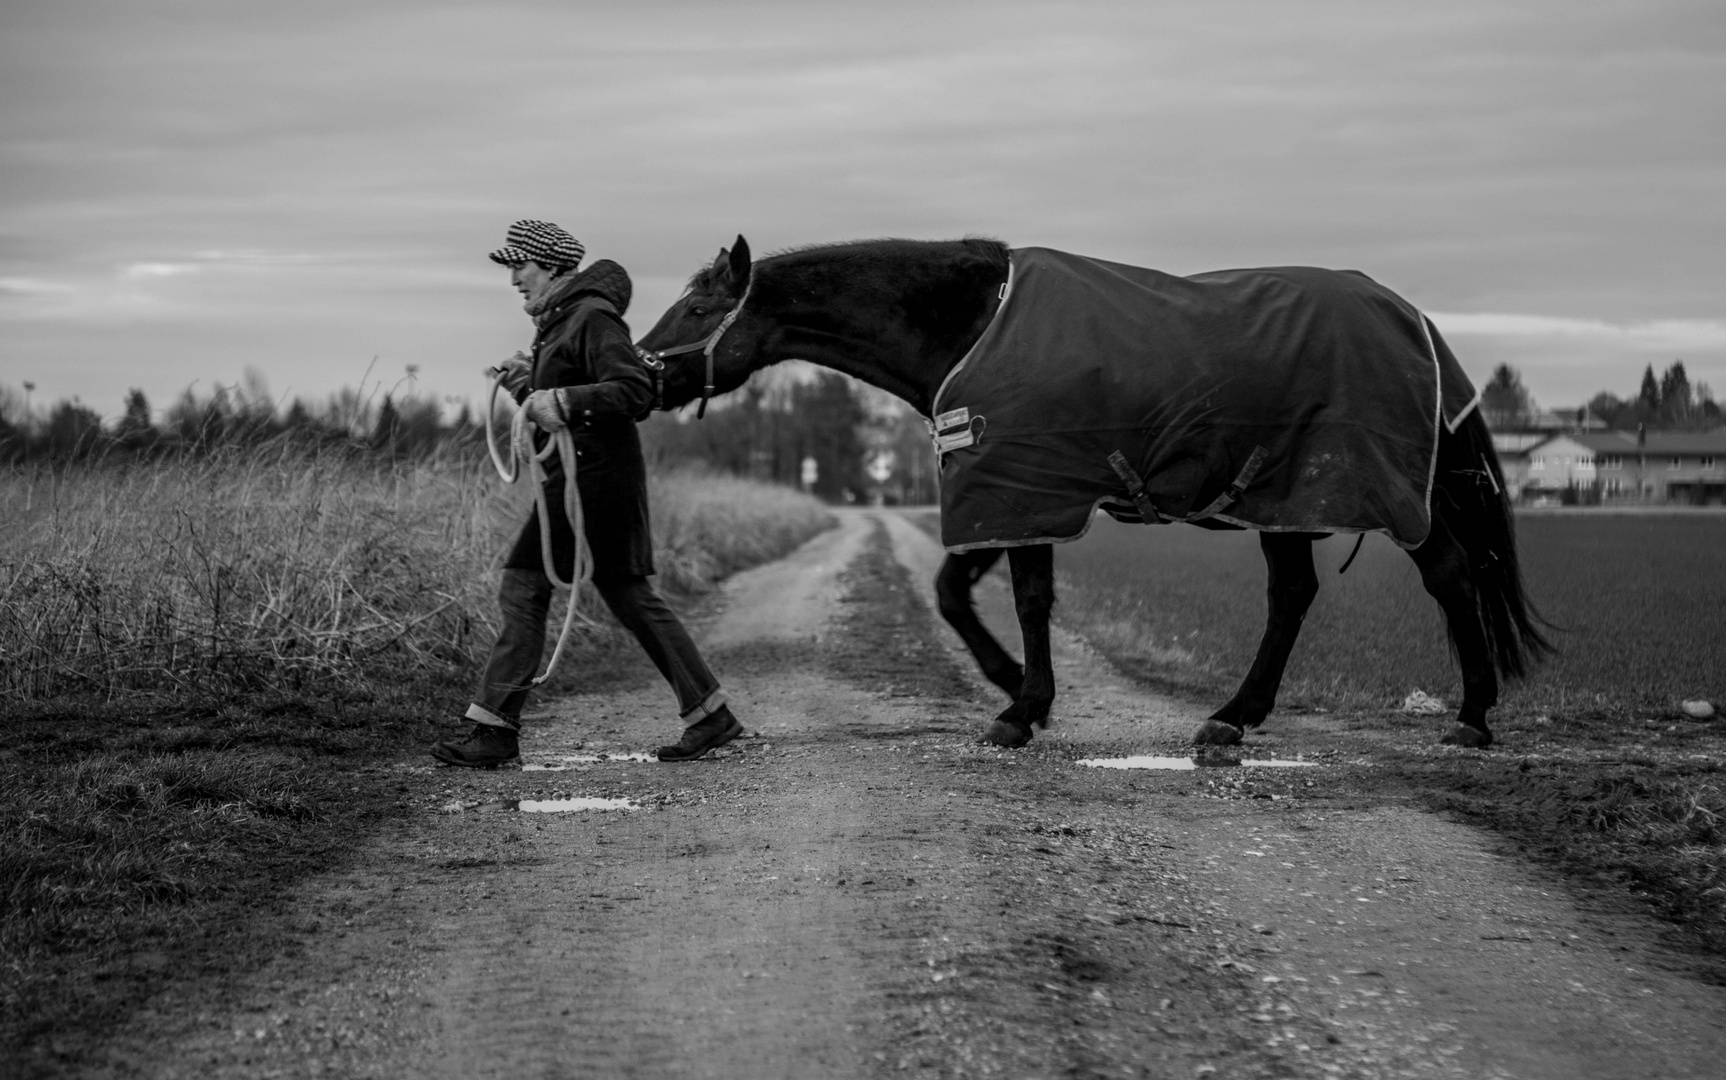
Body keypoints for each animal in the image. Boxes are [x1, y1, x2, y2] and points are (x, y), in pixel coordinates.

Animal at [638, 232, 1553, 748]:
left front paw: (1020, 705)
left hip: (1365, 492)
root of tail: (1416, 321)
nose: (640, 374)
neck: (972, 324)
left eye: (695, 311)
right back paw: (1235, 717)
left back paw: (1472, 715)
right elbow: (957, 591)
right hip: (1283, 498)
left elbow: (1025, 599)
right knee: (1296, 595)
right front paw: (1018, 690)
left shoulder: (1019, 489)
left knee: (1447, 576)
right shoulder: (1008, 496)